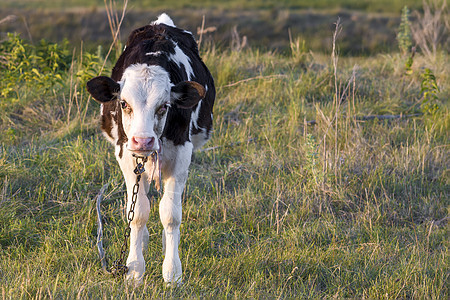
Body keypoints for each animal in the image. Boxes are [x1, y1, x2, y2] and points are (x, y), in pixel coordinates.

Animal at [87, 14, 216, 284]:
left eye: (164, 106)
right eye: (123, 104)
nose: (143, 141)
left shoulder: (181, 155)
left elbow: (170, 214)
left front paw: (172, 272)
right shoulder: (125, 155)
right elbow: (137, 213)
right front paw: (134, 269)